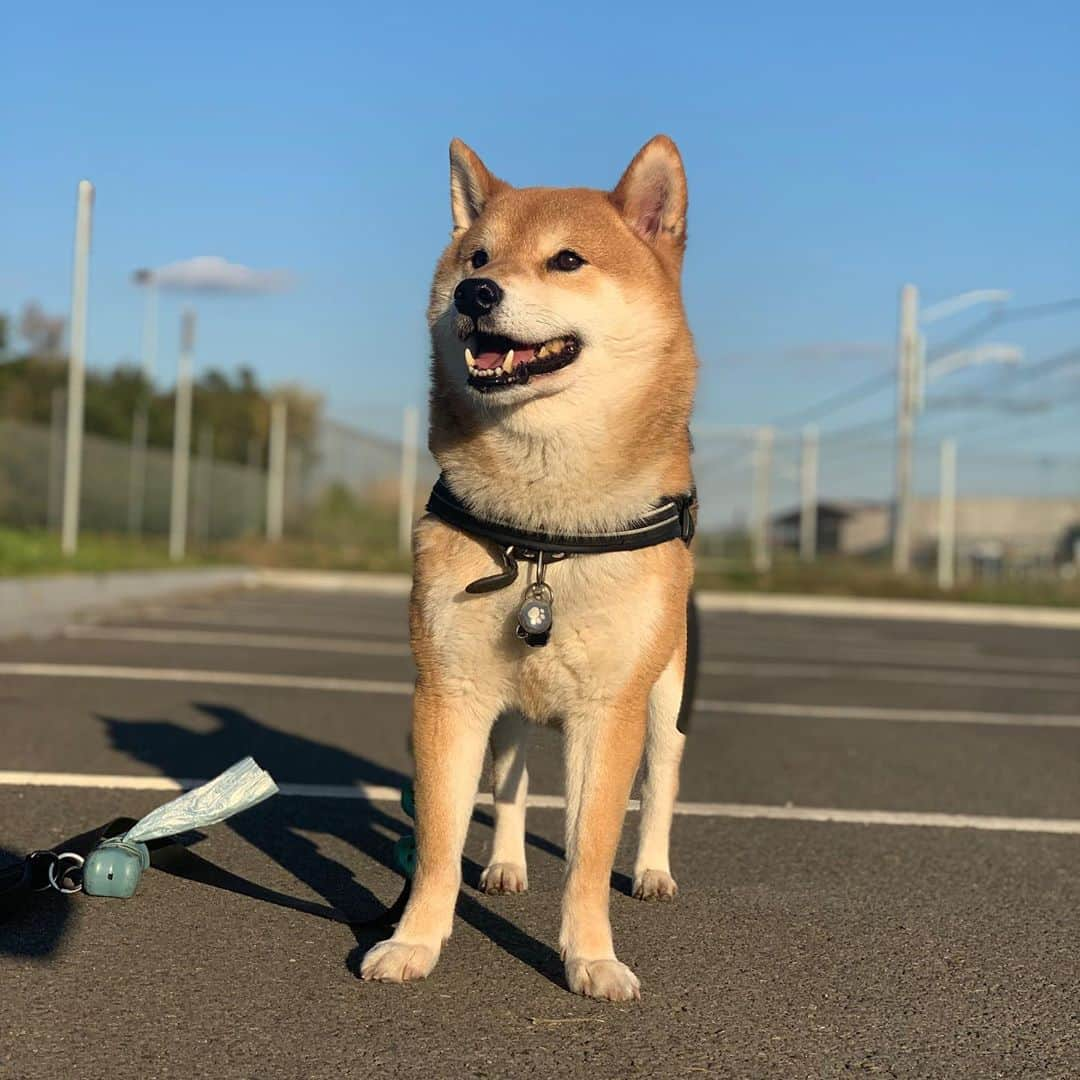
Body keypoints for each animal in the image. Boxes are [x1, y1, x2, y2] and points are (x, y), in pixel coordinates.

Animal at [362, 137, 695, 1002]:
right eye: (476, 257)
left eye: (567, 260)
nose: (476, 292)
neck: (545, 533)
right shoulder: (451, 689)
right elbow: (439, 841)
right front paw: (415, 941)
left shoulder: (611, 708)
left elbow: (590, 850)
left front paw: (591, 957)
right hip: (509, 698)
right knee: (509, 782)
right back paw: (507, 864)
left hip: (668, 691)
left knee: (662, 782)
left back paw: (653, 870)